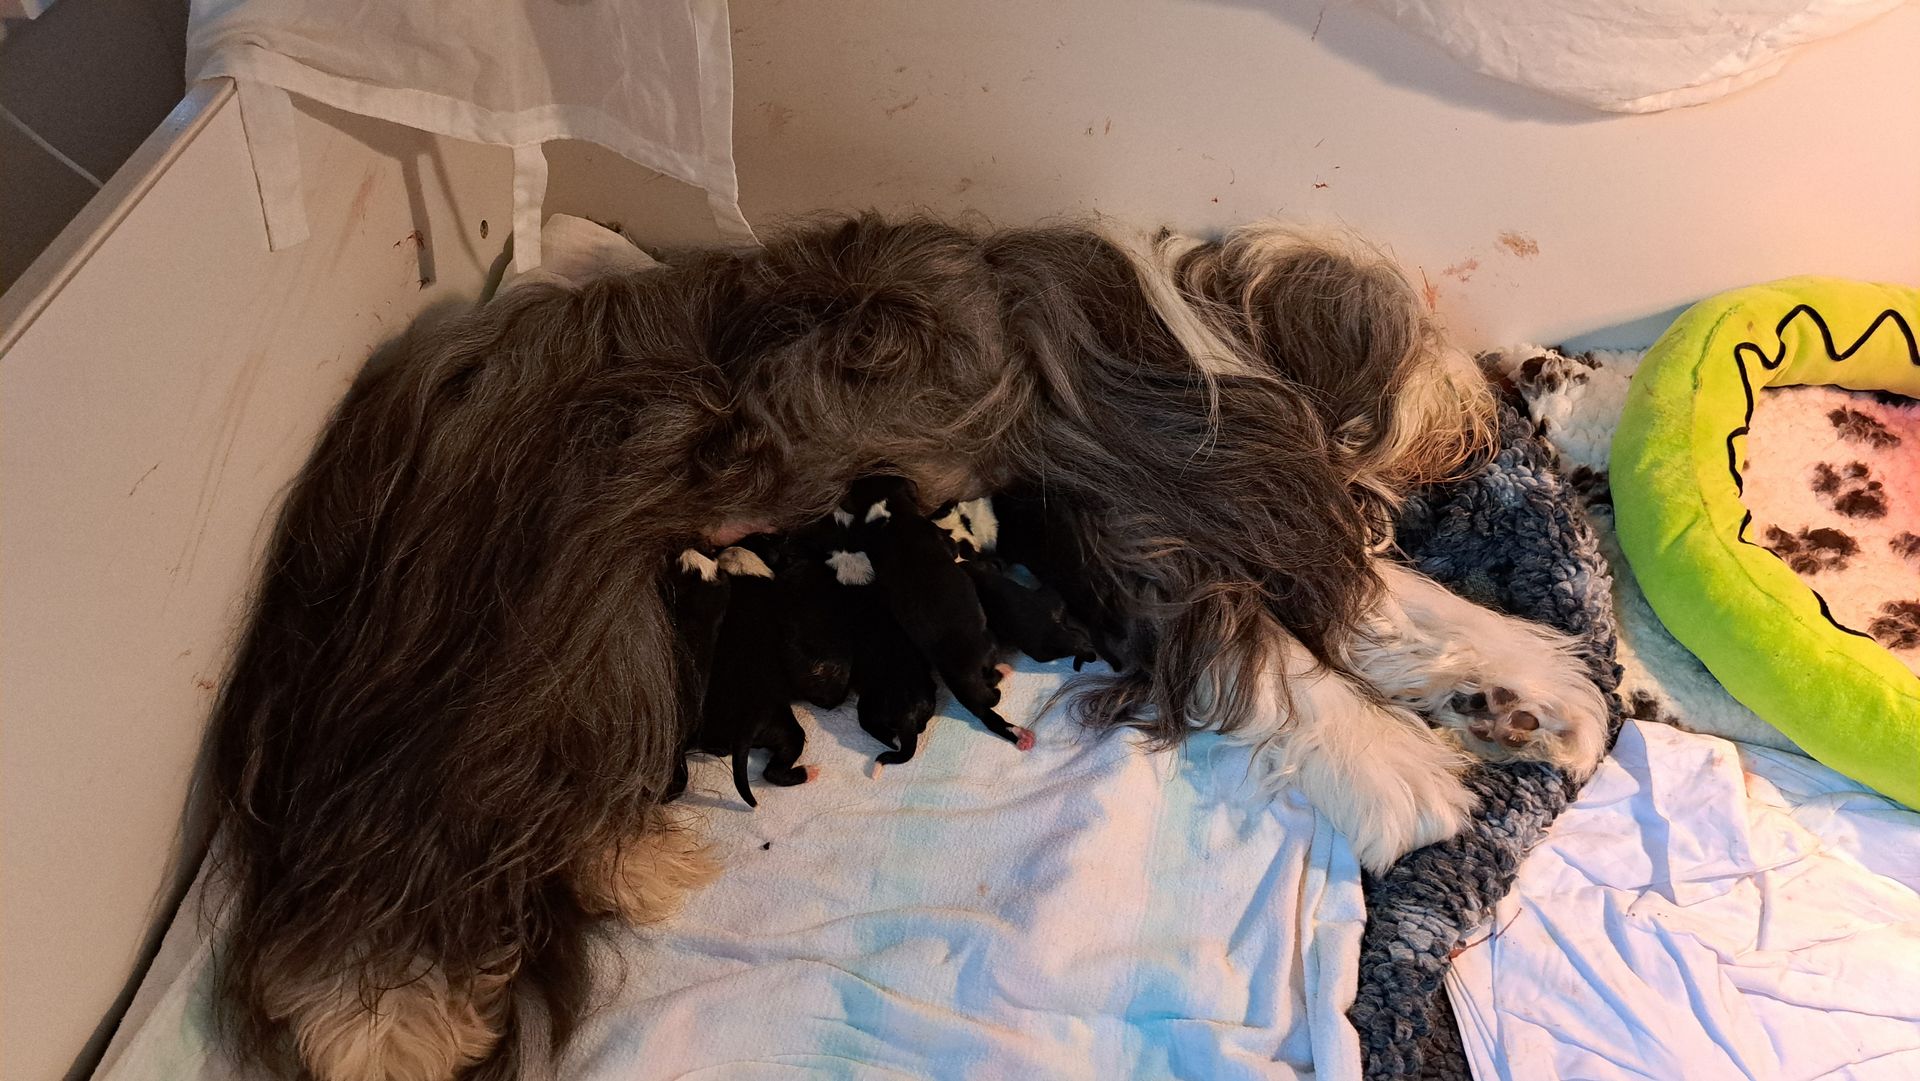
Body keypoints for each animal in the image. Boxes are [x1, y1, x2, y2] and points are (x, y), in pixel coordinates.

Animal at [207, 213, 1607, 1080]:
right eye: (1417, 323)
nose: (1497, 395)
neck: (1209, 335)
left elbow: (1398, 607)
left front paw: (1533, 689)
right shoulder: (1156, 527)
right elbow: (1290, 664)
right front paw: (1410, 777)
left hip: (603, 644)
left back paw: (633, 865)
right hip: (525, 627)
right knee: (413, 837)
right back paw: (383, 1029)